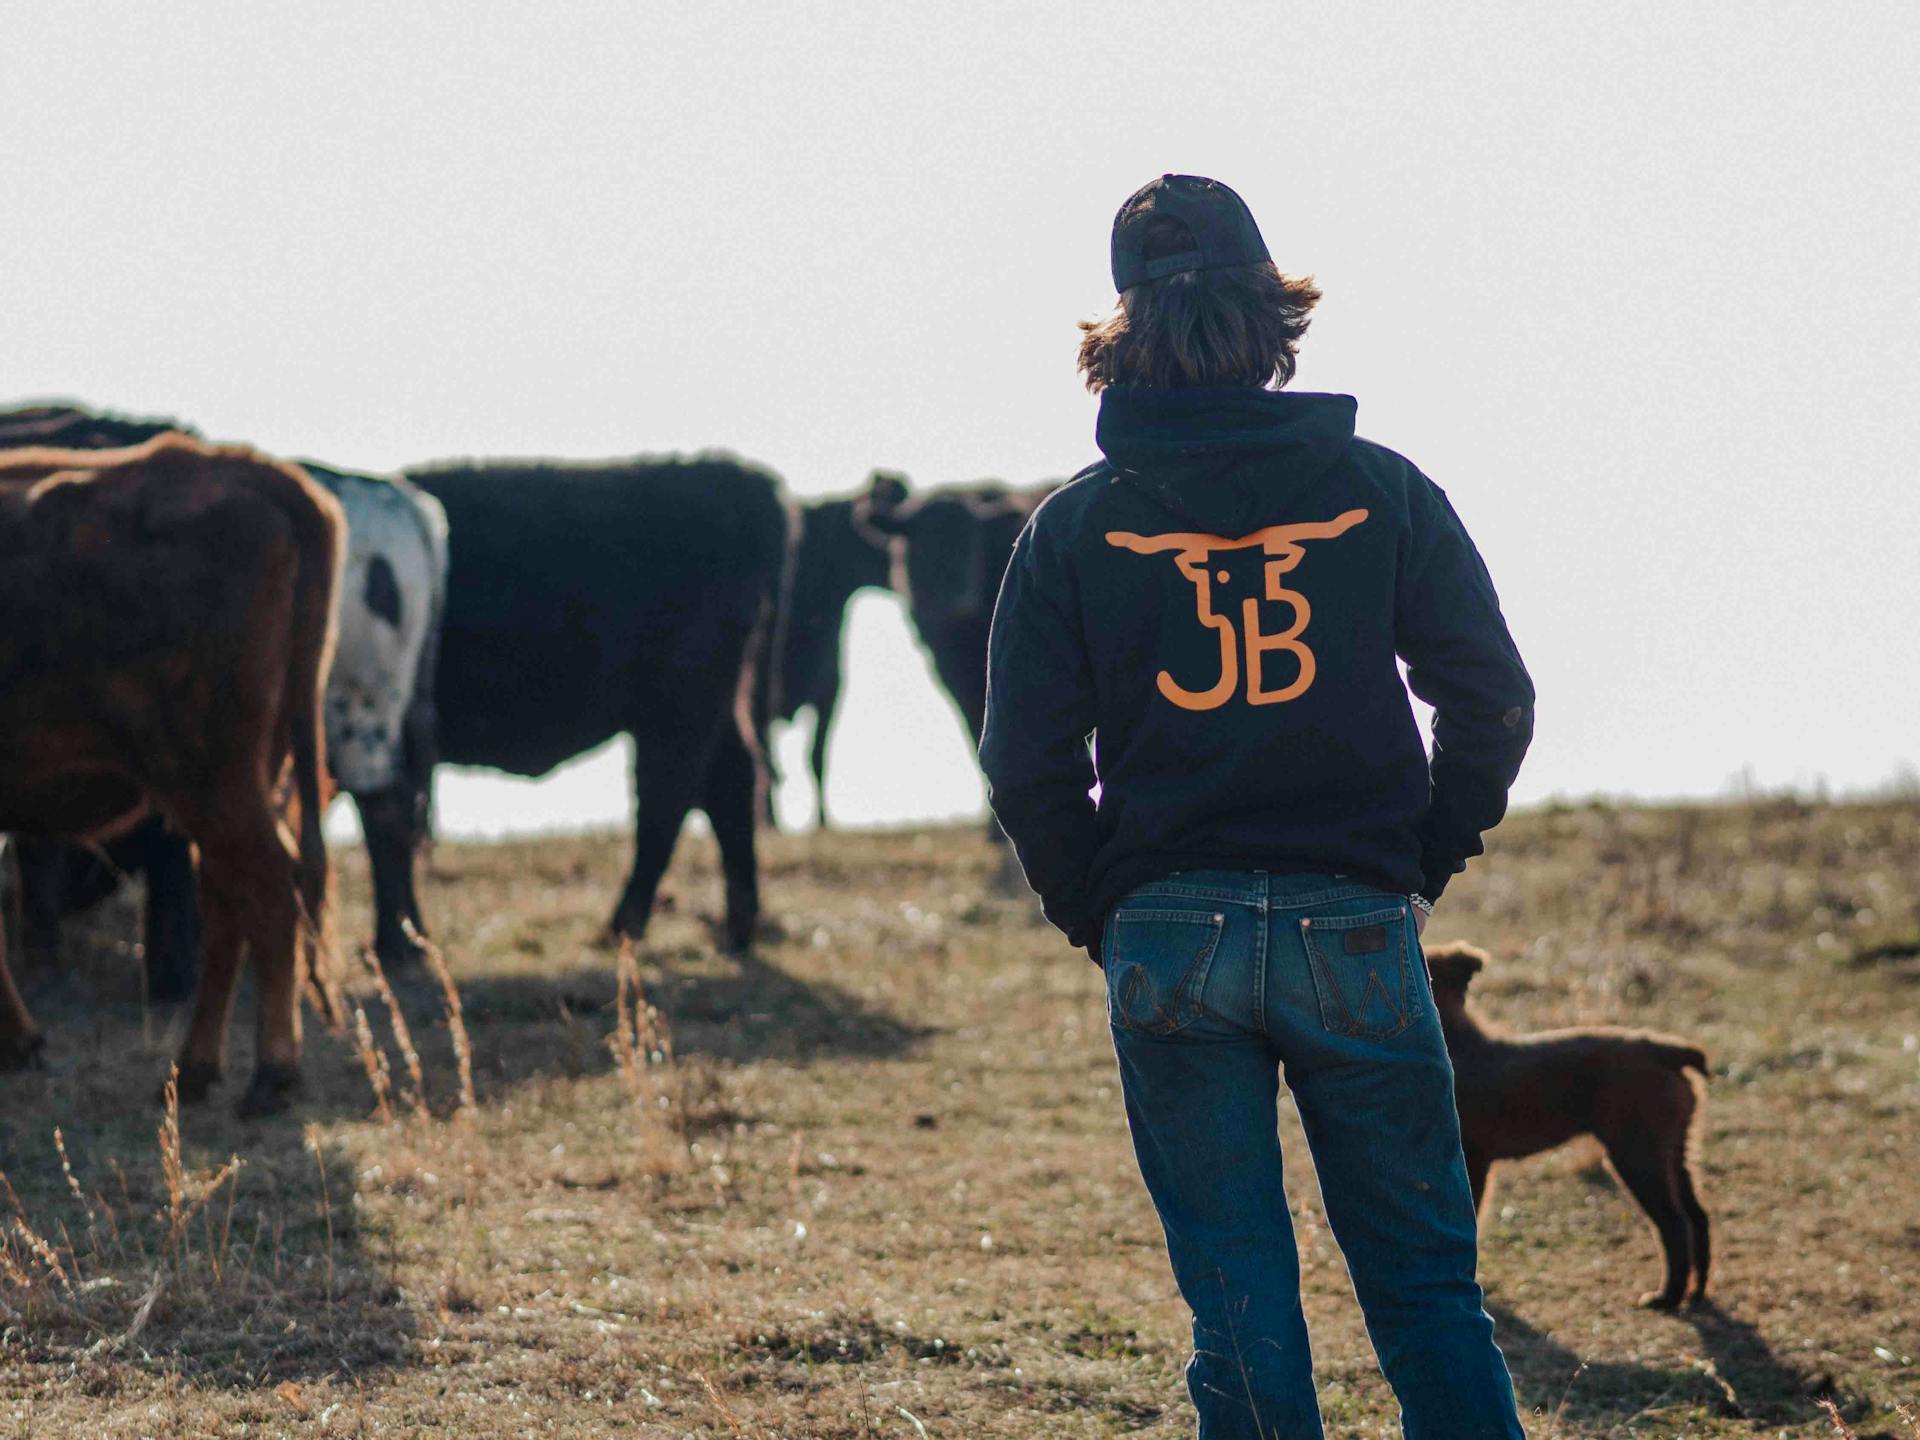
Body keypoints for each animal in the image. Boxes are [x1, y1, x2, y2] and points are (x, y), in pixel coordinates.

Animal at [1, 432, 345, 1113]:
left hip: (207, 774)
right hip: (236, 778)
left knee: (269, 884)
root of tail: (253, 469)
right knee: (228, 896)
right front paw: (21, 1044)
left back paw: (272, 1075)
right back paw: (196, 1070)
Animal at [405, 456, 794, 952]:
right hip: (711, 705)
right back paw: (737, 925)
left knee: (667, 797)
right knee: (731, 781)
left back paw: (625, 924)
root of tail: (742, 478)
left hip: (678, 706)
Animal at [1428, 940, 1712, 1313]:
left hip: (1638, 1157)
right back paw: (1697, 1291)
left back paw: (1668, 1297)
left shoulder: (1470, 1162)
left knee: (1674, 1224)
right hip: (1674, 1153)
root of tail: (1664, 1050)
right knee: (1698, 1216)